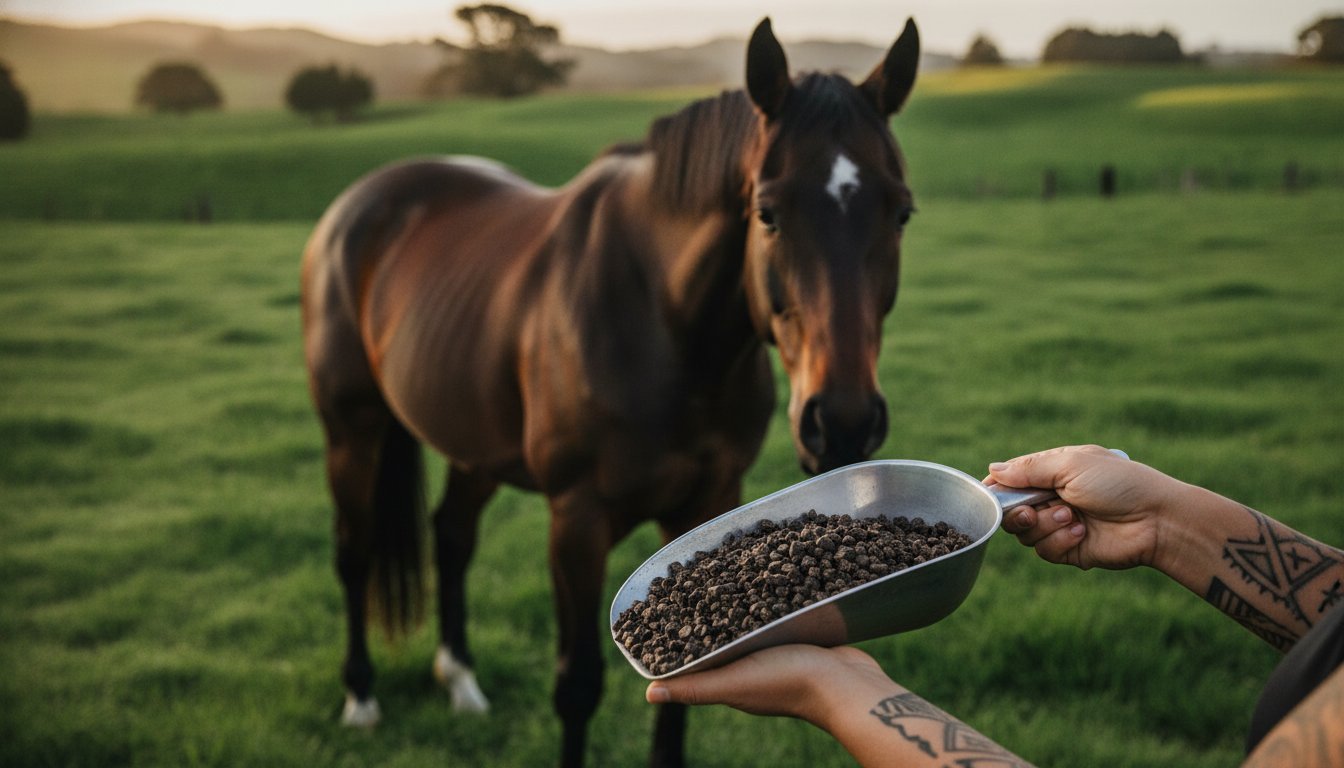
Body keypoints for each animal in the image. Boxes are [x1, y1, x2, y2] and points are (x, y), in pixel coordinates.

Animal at [301, 17, 920, 767]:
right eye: (767, 212)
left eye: (901, 213)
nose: (844, 422)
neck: (663, 326)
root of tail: (357, 204)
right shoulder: (577, 520)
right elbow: (577, 685)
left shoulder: (708, 499)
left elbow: (678, 705)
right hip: (351, 430)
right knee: (354, 551)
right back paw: (361, 697)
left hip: (473, 443)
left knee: (450, 536)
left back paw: (461, 681)